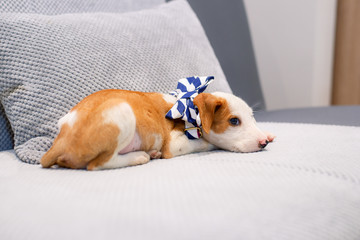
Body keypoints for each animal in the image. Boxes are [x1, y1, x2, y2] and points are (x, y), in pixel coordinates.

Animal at [40, 89, 274, 170]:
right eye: (234, 121)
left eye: (252, 118)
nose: (263, 142)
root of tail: (60, 141)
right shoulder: (175, 144)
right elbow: (207, 143)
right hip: (123, 112)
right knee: (97, 164)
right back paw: (140, 156)